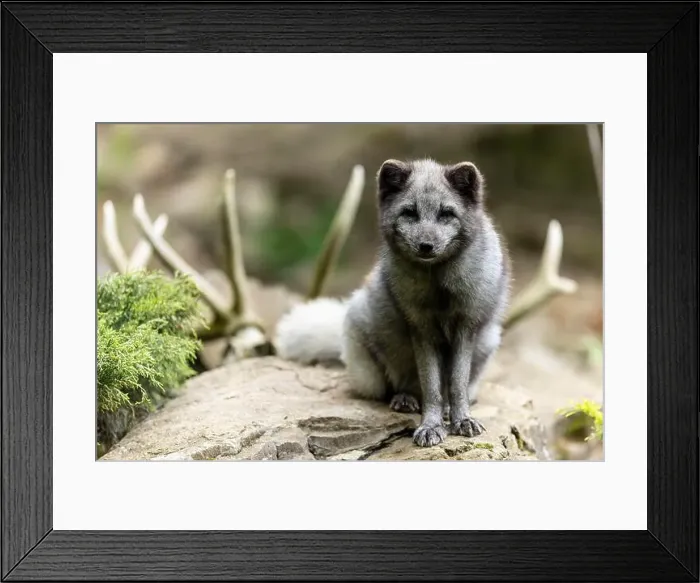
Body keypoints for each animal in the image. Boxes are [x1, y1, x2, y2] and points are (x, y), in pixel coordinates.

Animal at [274, 158, 511, 447]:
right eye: (409, 213)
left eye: (446, 213)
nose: (426, 245)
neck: (439, 288)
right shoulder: (421, 329)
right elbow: (431, 387)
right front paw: (430, 426)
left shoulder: (466, 327)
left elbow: (456, 384)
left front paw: (462, 420)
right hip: (370, 367)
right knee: (398, 387)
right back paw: (405, 399)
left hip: (489, 339)